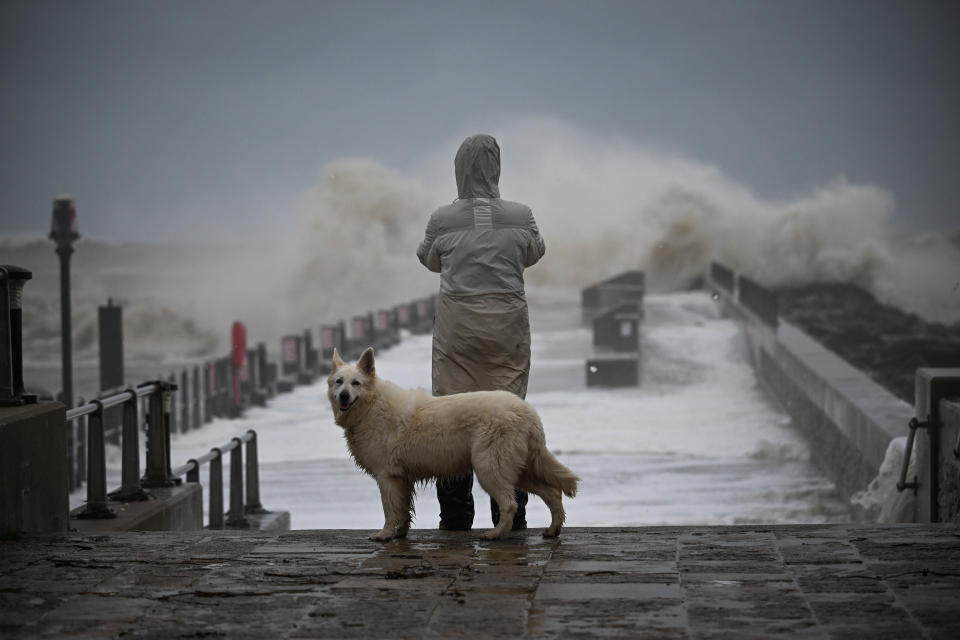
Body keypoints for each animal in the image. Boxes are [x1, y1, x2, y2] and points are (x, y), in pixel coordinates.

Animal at [328, 350, 576, 540]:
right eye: (339, 382)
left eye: (356, 383)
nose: (343, 396)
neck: (371, 406)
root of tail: (528, 412)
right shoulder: (402, 478)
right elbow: (404, 511)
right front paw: (400, 534)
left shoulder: (387, 477)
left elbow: (390, 511)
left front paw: (385, 535)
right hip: (519, 471)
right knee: (552, 493)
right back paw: (553, 529)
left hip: (489, 468)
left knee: (510, 504)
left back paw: (495, 534)